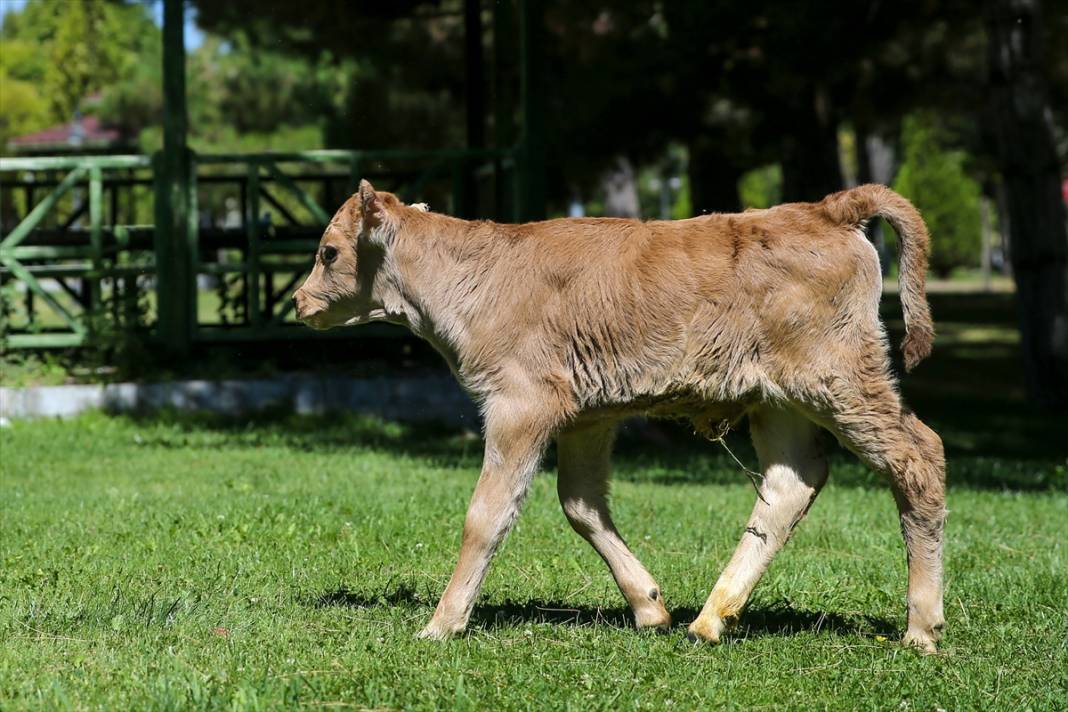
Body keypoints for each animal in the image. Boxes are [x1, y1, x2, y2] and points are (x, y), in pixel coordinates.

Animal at [290, 182, 944, 653]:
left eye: (328, 251)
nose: (298, 301)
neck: (477, 274)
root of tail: (826, 209)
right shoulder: (587, 418)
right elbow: (581, 505)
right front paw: (650, 608)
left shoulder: (518, 406)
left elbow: (488, 514)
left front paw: (442, 624)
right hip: (779, 401)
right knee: (791, 483)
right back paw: (710, 619)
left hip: (843, 383)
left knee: (919, 457)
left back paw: (922, 628)